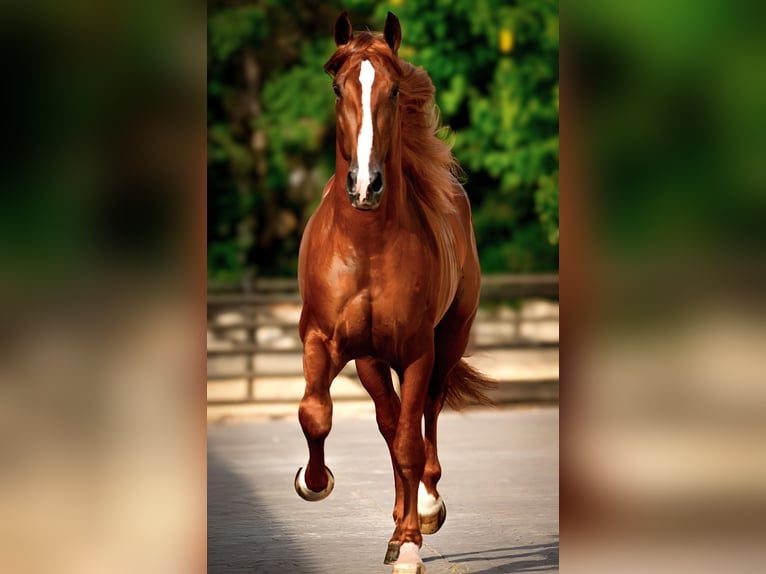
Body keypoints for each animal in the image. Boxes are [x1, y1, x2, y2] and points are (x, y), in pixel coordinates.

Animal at [294, 11, 494, 573]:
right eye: (338, 88)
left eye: (395, 89)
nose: (365, 186)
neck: (365, 246)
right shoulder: (322, 339)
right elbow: (315, 413)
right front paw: (315, 482)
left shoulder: (417, 351)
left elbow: (410, 443)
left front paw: (411, 543)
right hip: (369, 361)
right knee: (388, 423)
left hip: (448, 341)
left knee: (425, 416)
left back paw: (423, 510)